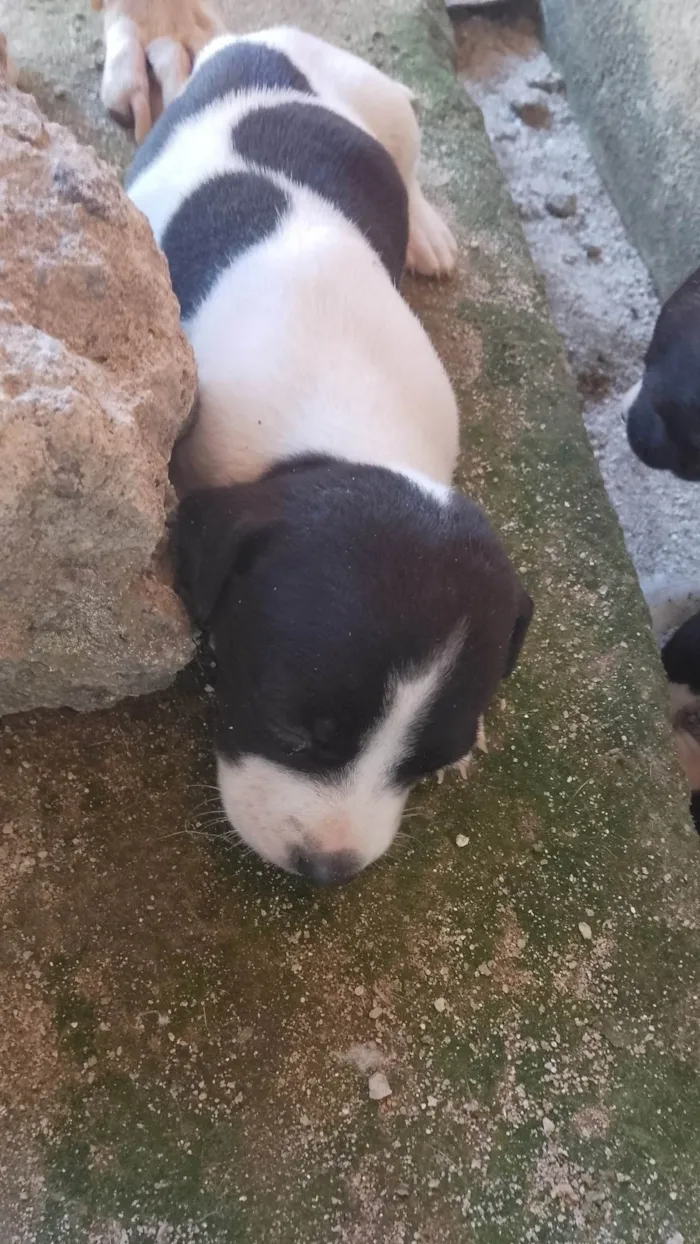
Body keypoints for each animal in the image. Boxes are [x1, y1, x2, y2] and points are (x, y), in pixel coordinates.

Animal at [124, 24, 532, 880]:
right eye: (291, 727)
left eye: (426, 763)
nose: (329, 869)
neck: (345, 436)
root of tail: (266, 35)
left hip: (392, 111)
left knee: (408, 165)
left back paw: (425, 229)